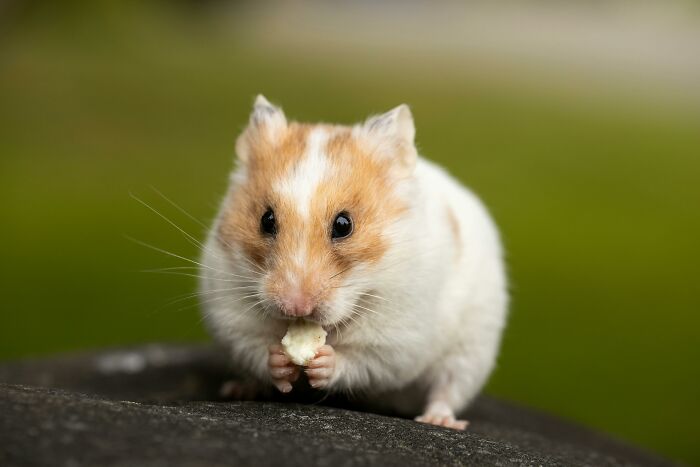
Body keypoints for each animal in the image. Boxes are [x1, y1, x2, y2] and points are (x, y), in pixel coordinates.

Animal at [200, 95, 508, 429]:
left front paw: (323, 362)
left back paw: (439, 420)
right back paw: (239, 389)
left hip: (471, 350)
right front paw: (280, 360)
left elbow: (361, 361)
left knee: (447, 388)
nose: (296, 308)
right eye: (266, 220)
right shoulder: (232, 315)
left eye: (344, 225)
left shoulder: (397, 338)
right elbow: (256, 348)